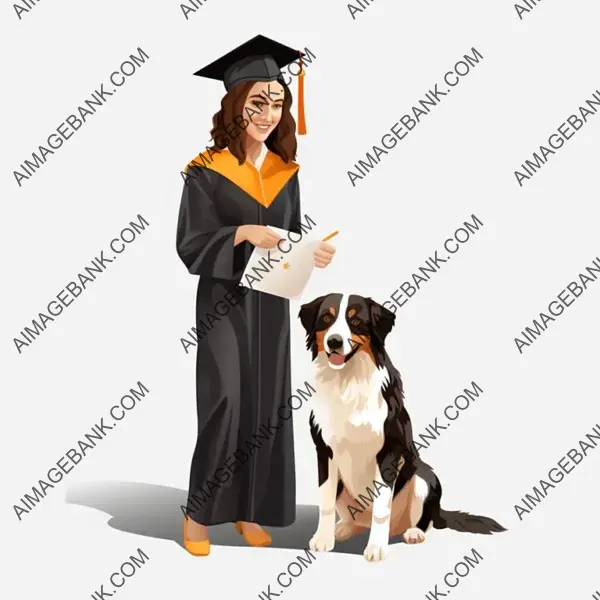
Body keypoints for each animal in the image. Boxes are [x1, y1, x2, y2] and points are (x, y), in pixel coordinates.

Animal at [298, 296, 504, 564]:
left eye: (356, 321)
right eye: (326, 318)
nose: (334, 341)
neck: (348, 382)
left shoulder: (388, 453)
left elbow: (381, 507)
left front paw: (376, 548)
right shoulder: (325, 450)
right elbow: (325, 500)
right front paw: (323, 539)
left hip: (424, 477)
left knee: (424, 519)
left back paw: (413, 532)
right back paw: (342, 528)